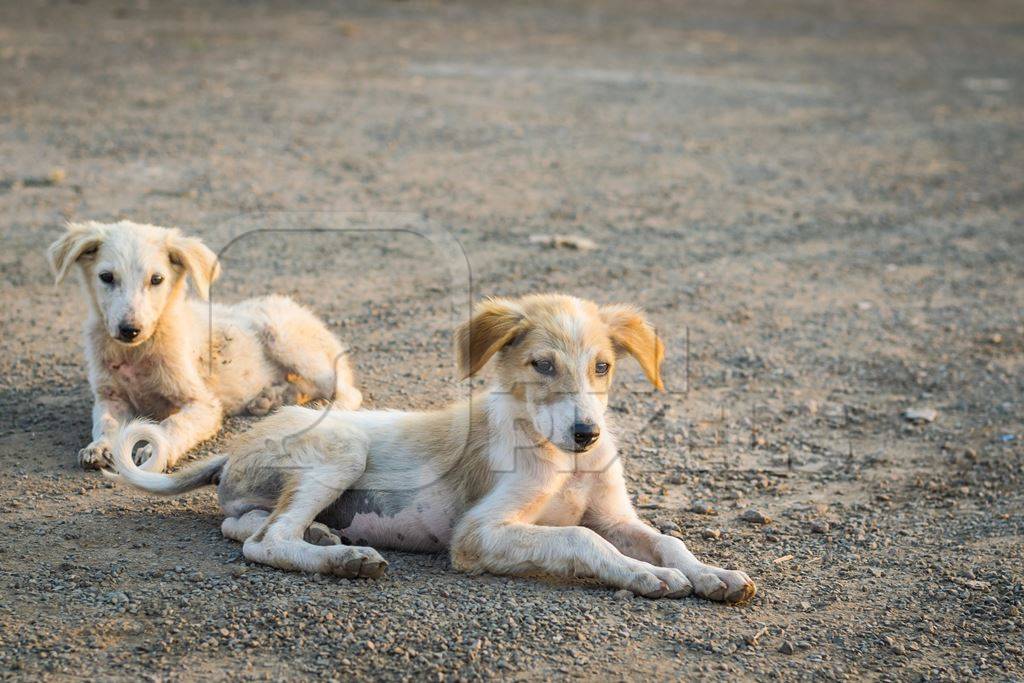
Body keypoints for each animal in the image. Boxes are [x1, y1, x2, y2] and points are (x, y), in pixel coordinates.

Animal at [51, 222, 366, 473]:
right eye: (106, 277)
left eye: (157, 279)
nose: (130, 330)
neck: (137, 352)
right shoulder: (109, 396)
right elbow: (106, 423)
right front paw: (100, 446)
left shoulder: (203, 404)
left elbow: (173, 425)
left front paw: (154, 450)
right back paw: (269, 398)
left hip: (284, 338)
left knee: (346, 390)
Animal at [108, 294, 757, 602]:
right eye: (541, 365)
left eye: (602, 367)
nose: (587, 434)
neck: (560, 459)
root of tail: (239, 442)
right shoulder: (477, 532)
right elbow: (579, 537)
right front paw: (644, 576)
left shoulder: (618, 516)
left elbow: (667, 540)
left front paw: (713, 574)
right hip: (342, 447)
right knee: (265, 543)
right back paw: (344, 560)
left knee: (244, 525)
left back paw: (325, 535)